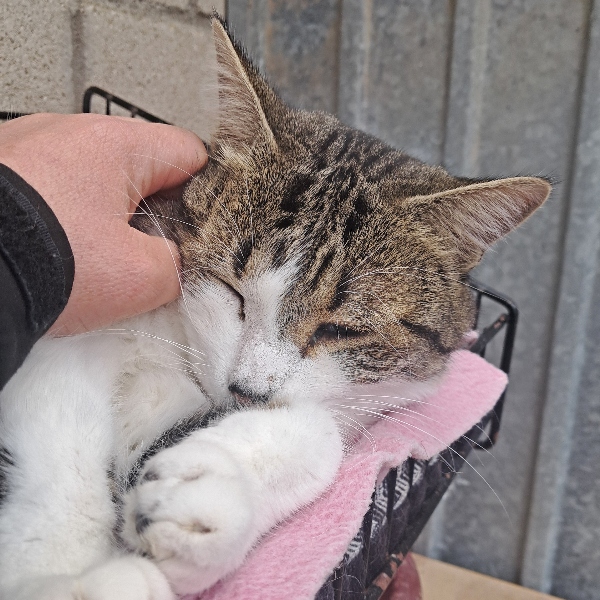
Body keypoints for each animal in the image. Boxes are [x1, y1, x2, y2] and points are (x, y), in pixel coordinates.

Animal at [0, 16, 550, 600]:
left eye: (339, 330)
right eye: (232, 290)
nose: (247, 391)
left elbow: (322, 437)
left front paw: (209, 488)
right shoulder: (75, 332)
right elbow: (63, 441)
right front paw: (66, 570)